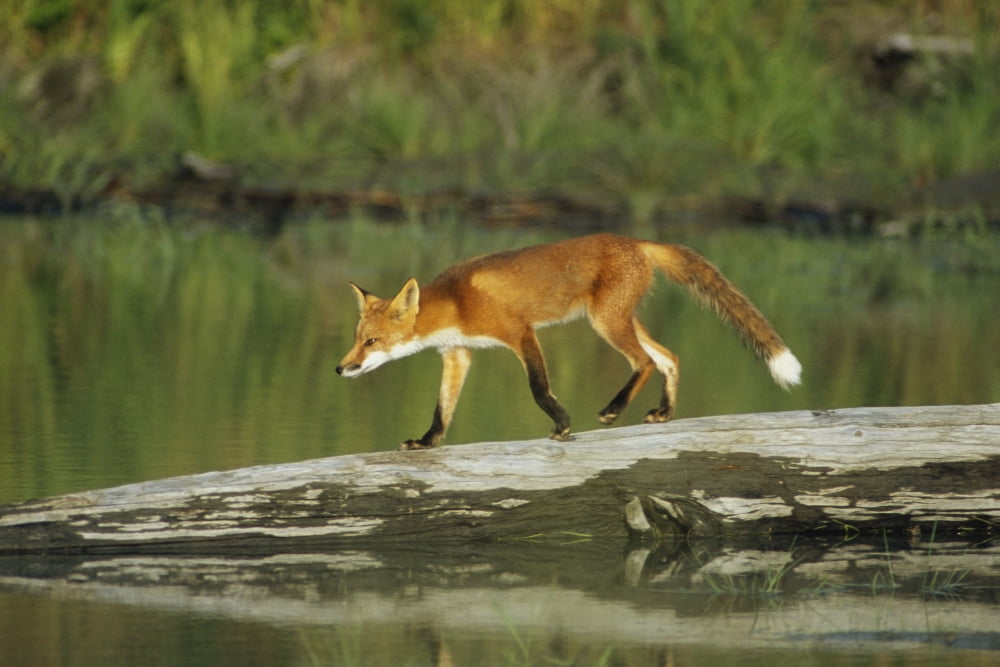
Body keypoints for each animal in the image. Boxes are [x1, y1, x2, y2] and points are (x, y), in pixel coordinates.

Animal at [337, 233, 801, 450]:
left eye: (372, 342)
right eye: (357, 339)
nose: (341, 368)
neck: (457, 301)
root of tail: (638, 241)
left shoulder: (520, 332)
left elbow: (538, 387)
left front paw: (561, 423)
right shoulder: (457, 353)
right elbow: (443, 408)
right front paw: (427, 442)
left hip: (605, 323)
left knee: (645, 363)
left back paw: (614, 409)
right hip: (622, 320)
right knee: (670, 357)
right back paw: (665, 413)